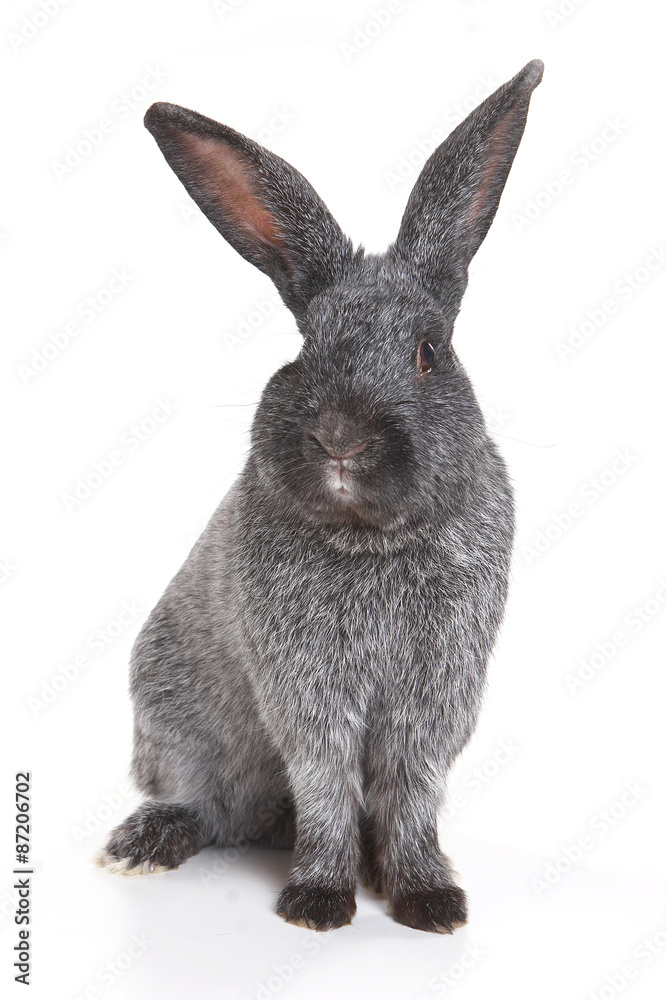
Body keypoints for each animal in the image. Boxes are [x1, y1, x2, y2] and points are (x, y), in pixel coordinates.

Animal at [97, 59, 543, 933]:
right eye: (306, 348)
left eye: (429, 352)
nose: (340, 438)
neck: (369, 536)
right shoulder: (308, 692)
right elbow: (328, 785)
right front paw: (318, 903)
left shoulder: (432, 700)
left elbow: (409, 794)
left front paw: (428, 901)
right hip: (172, 715)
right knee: (202, 805)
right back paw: (142, 845)